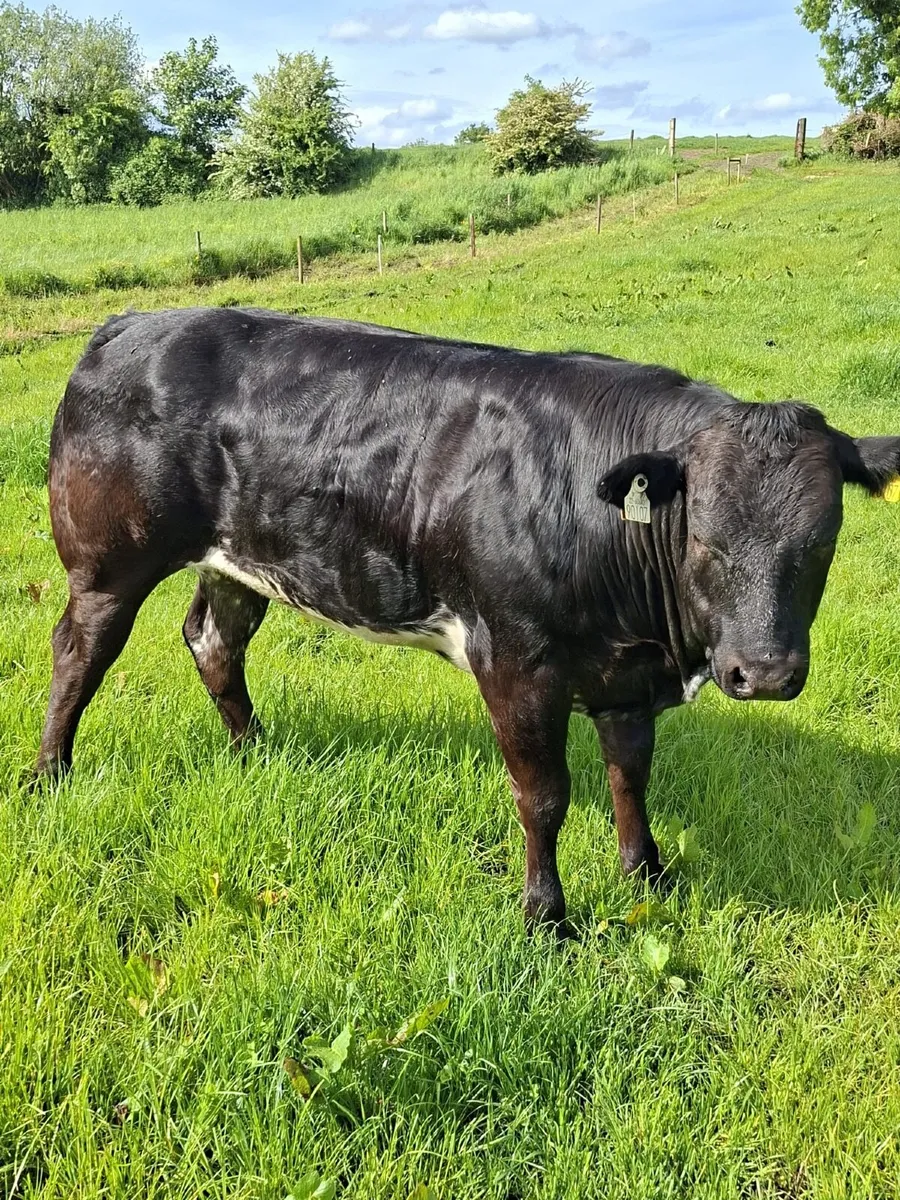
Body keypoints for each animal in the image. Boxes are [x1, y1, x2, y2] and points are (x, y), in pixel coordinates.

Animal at [33, 306, 900, 934]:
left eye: (822, 540)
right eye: (705, 538)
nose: (767, 672)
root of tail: (136, 322)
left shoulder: (625, 675)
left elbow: (630, 773)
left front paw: (646, 874)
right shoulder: (515, 658)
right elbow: (543, 794)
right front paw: (546, 918)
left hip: (237, 560)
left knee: (215, 643)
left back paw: (254, 752)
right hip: (106, 562)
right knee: (79, 653)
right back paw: (49, 775)